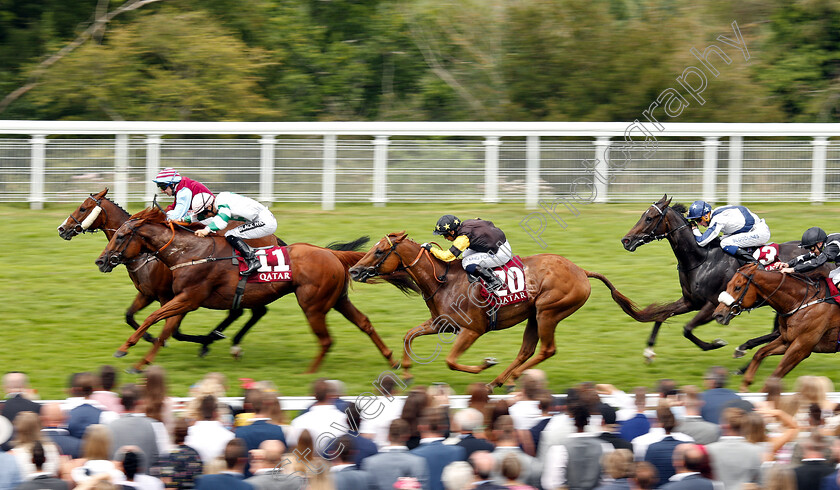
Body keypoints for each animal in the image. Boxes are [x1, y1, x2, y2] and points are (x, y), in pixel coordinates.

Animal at [59, 188, 270, 352]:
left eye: (83, 208)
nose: (61, 229)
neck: (146, 254)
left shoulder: (168, 295)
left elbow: (174, 330)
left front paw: (200, 340)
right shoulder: (147, 293)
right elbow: (129, 316)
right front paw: (150, 338)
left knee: (251, 311)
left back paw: (221, 340)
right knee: (252, 311)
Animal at [95, 206, 414, 372]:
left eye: (121, 236)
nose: (101, 261)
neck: (189, 252)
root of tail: (330, 253)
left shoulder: (187, 298)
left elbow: (153, 320)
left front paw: (125, 348)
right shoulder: (182, 299)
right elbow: (165, 329)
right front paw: (142, 363)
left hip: (313, 304)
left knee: (325, 340)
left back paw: (311, 375)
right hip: (337, 299)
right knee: (364, 323)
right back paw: (393, 360)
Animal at [344, 234, 668, 390]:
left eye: (378, 251)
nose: (354, 270)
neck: (443, 280)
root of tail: (581, 270)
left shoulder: (472, 330)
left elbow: (451, 361)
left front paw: (484, 364)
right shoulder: (442, 324)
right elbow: (409, 336)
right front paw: (407, 372)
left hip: (548, 311)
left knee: (546, 350)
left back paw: (504, 378)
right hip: (534, 315)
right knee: (528, 350)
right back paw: (502, 379)